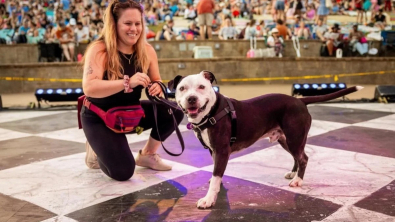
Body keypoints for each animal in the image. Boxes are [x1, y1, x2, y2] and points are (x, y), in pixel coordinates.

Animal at [169, 70, 364, 208]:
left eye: (201, 87)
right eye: (182, 88)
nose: (191, 99)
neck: (211, 111)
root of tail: (300, 101)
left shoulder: (222, 150)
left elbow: (216, 174)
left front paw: (209, 199)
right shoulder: (213, 150)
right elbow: (217, 172)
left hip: (294, 137)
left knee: (303, 158)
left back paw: (298, 180)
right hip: (286, 139)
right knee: (298, 156)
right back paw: (293, 173)